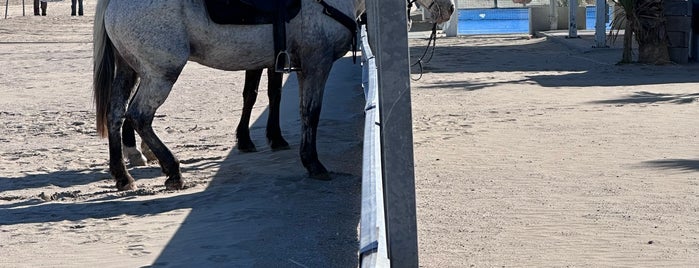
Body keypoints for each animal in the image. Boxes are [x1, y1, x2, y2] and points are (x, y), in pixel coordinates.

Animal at [93, 0, 454, 191]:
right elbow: (310, 112)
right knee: (139, 116)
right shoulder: (316, 64)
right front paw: (313, 163)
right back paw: (172, 171)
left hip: (129, 69)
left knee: (116, 114)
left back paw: (123, 175)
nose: (448, 9)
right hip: (160, 73)